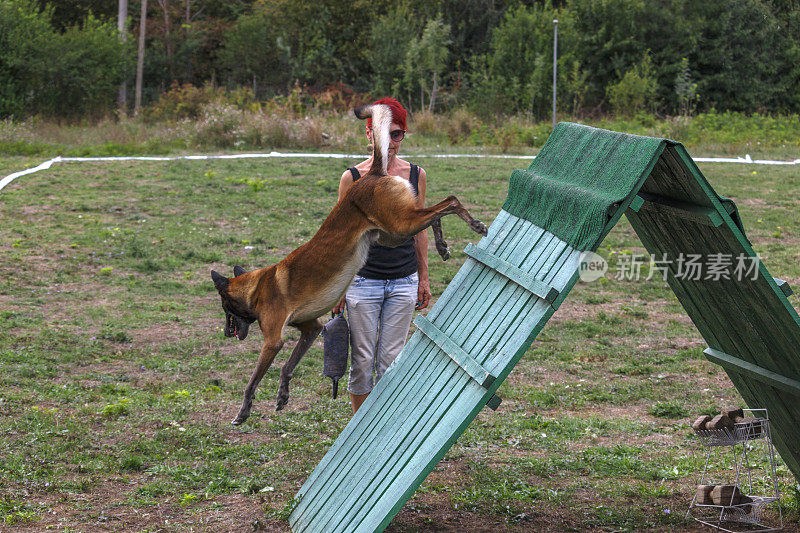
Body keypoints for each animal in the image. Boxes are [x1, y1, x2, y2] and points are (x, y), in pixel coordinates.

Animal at [211, 102, 488, 422]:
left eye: (225, 309)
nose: (226, 333)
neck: (257, 287)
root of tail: (375, 173)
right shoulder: (311, 329)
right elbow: (288, 366)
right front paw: (282, 394)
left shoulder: (272, 341)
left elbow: (253, 379)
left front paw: (243, 411)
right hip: (393, 233)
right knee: (435, 214)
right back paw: (442, 245)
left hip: (399, 224)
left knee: (450, 201)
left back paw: (476, 225)